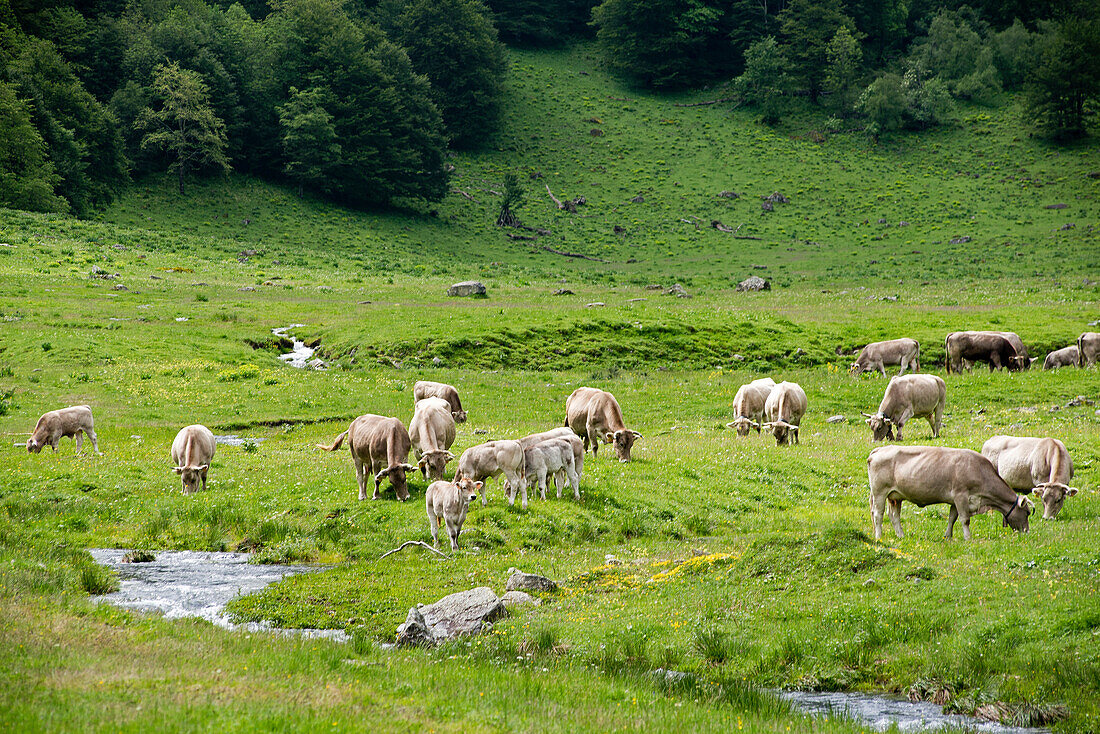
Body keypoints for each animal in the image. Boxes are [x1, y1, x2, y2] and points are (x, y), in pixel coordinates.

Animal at [866, 444, 1029, 543]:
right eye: (1027, 513)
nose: (1026, 532)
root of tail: (879, 449)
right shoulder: (961, 495)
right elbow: (965, 519)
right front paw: (968, 538)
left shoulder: (955, 500)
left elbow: (952, 518)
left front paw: (948, 536)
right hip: (879, 492)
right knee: (878, 514)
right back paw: (879, 537)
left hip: (895, 496)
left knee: (894, 515)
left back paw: (901, 535)